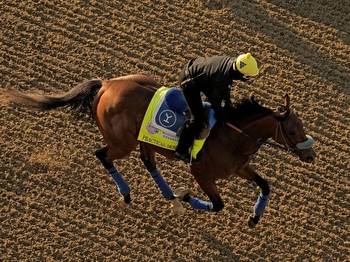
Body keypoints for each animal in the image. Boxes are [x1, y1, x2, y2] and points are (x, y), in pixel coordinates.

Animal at [0, 74, 318, 227]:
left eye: (301, 127)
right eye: (292, 131)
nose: (310, 155)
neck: (232, 134)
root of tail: (106, 86)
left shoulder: (239, 167)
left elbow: (265, 185)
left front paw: (254, 217)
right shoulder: (201, 172)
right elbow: (218, 205)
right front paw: (186, 196)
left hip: (143, 139)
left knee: (147, 161)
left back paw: (168, 196)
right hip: (123, 142)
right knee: (102, 155)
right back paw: (128, 194)